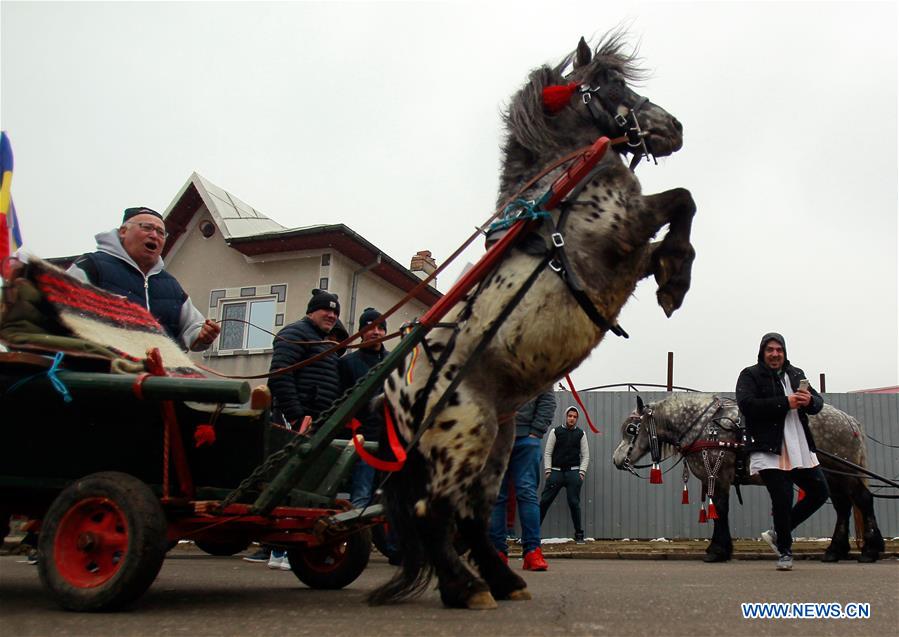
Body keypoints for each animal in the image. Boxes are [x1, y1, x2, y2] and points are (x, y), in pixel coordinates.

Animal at [369, 32, 697, 610]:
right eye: (610, 83)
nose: (674, 126)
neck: (562, 188)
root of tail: (395, 397)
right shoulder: (623, 229)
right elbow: (683, 199)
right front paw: (676, 276)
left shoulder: (630, 257)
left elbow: (679, 217)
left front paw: (673, 273)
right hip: (467, 437)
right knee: (435, 513)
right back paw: (467, 587)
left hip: (498, 443)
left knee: (472, 515)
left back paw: (502, 581)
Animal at [611, 393, 886, 563]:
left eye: (631, 430)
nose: (616, 460)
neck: (705, 427)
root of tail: (849, 420)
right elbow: (719, 510)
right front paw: (721, 549)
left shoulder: (719, 475)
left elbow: (720, 510)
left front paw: (717, 550)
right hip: (832, 476)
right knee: (843, 506)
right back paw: (835, 550)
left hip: (842, 473)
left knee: (863, 500)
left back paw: (870, 550)